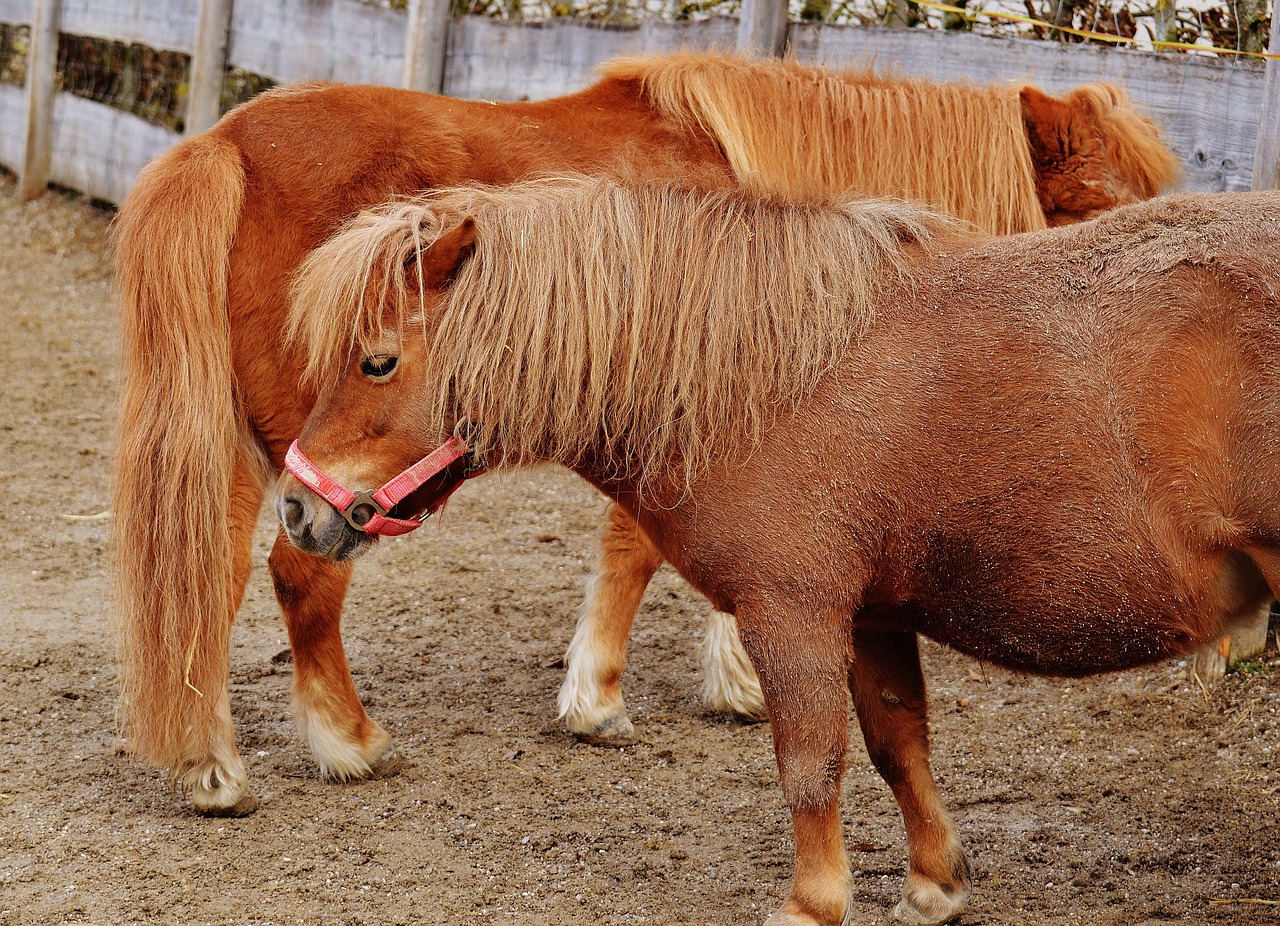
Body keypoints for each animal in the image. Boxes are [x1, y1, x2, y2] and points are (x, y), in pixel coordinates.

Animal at [110, 52, 1177, 819]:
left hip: (257, 456)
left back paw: (210, 764)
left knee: (208, 582)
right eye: (1100, 208)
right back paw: (346, 743)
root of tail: (227, 145)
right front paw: (610, 698)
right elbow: (637, 549)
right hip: (326, 475)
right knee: (300, 575)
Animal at [277, 175, 1280, 926]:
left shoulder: (791, 612)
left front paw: (813, 902)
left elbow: (809, 763)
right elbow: (897, 745)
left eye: (377, 361)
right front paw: (934, 885)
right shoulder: (873, 615)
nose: (295, 507)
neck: (769, 376)